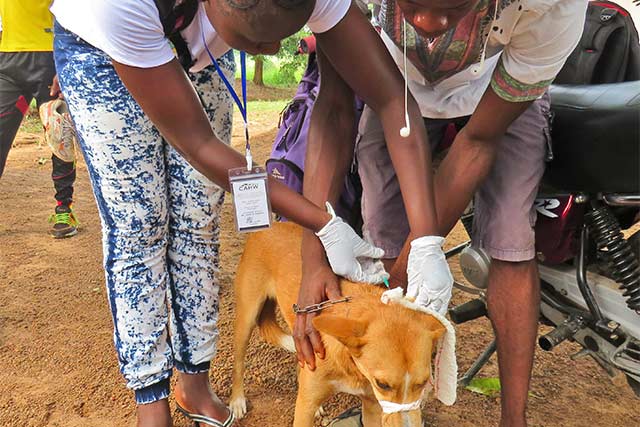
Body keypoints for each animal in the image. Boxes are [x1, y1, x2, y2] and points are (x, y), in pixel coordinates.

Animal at [229, 224, 444, 427]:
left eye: (424, 382)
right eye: (382, 384)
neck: (351, 364)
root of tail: (271, 226)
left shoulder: (372, 405)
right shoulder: (305, 407)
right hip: (247, 317)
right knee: (238, 361)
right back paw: (237, 401)